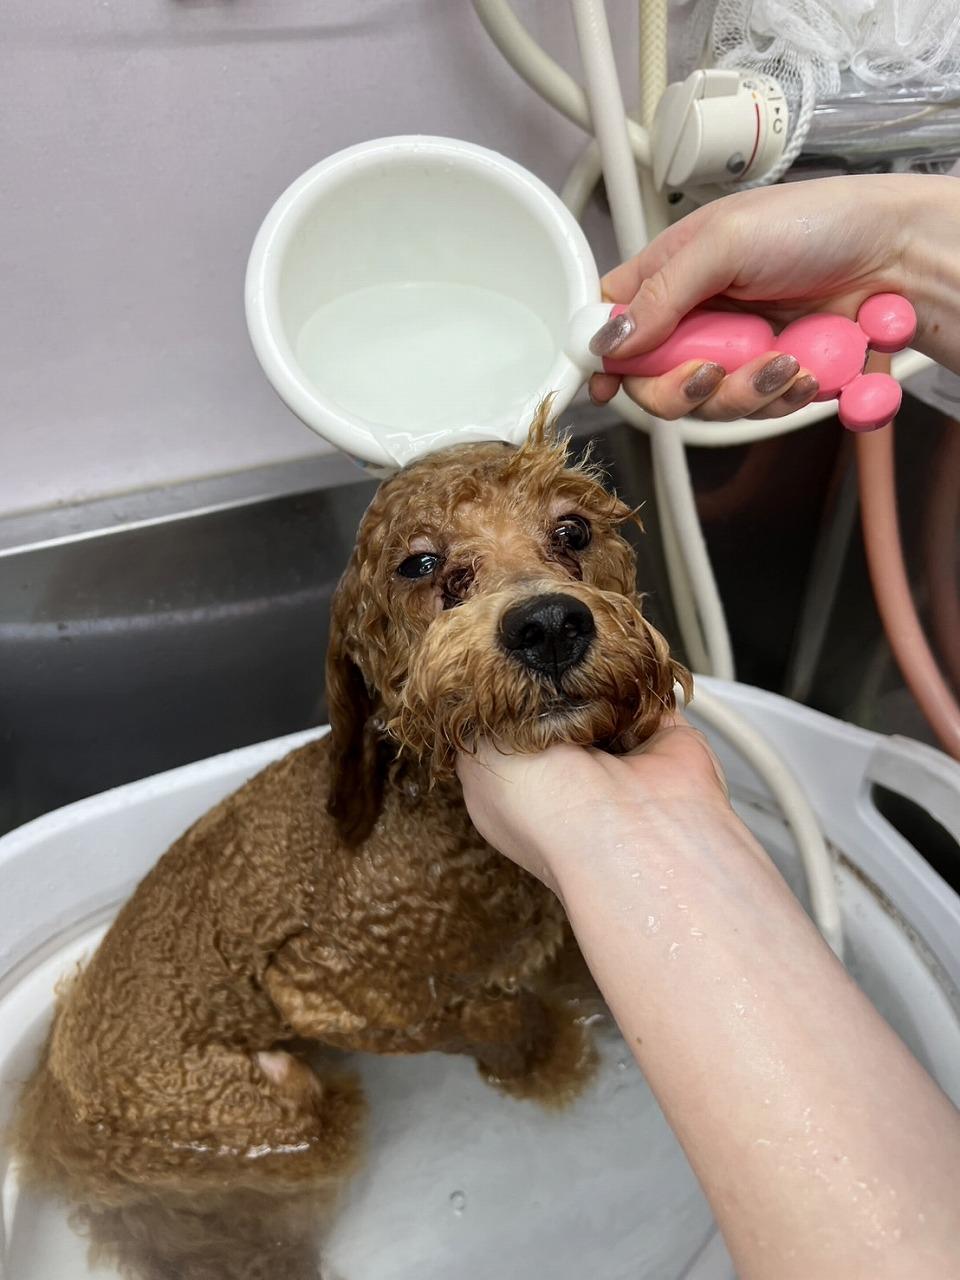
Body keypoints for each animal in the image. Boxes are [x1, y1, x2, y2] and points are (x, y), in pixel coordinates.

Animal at [12, 405, 689, 1278]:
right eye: (421, 563)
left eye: (573, 530)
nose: (548, 624)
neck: (440, 825)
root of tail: (54, 1117)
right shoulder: (317, 987)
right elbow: (487, 1018)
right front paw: (545, 1061)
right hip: (258, 1108)